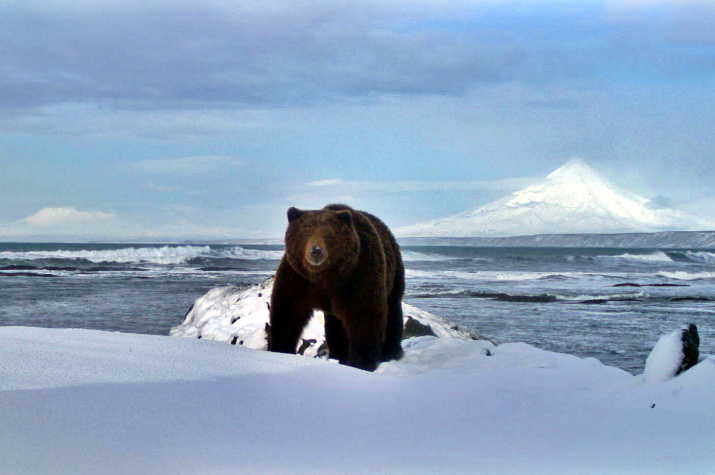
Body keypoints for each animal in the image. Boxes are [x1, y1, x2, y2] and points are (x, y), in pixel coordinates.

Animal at [268, 205, 406, 372]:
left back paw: (390, 352)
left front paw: (361, 363)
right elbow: (288, 312)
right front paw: (281, 350)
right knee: (334, 324)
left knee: (393, 309)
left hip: (394, 270)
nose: (316, 251)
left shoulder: (359, 274)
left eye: (329, 232)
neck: (326, 276)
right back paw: (338, 354)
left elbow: (365, 316)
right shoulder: (298, 279)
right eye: (306, 228)